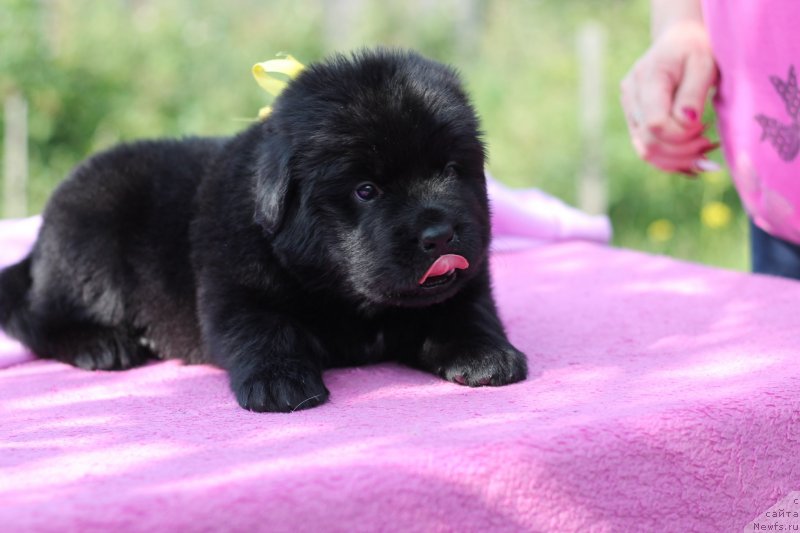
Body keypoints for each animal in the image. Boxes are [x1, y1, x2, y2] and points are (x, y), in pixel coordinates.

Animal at [0, 48, 528, 412]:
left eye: (452, 169)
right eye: (366, 190)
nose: (439, 234)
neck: (342, 291)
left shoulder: (467, 284)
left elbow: (466, 311)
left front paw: (487, 355)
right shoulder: (237, 287)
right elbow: (264, 328)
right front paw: (281, 383)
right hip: (90, 247)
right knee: (35, 316)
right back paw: (102, 344)